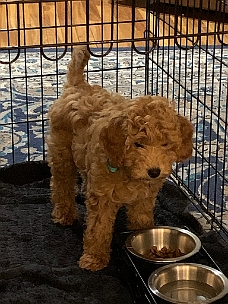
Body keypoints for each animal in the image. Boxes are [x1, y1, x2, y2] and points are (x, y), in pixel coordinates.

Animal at [47, 47, 193, 270]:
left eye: (166, 144)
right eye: (138, 144)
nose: (154, 172)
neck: (129, 171)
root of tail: (77, 85)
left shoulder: (143, 197)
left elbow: (141, 219)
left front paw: (144, 234)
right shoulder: (103, 197)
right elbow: (98, 228)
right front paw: (94, 258)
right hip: (61, 151)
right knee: (61, 183)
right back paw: (64, 214)